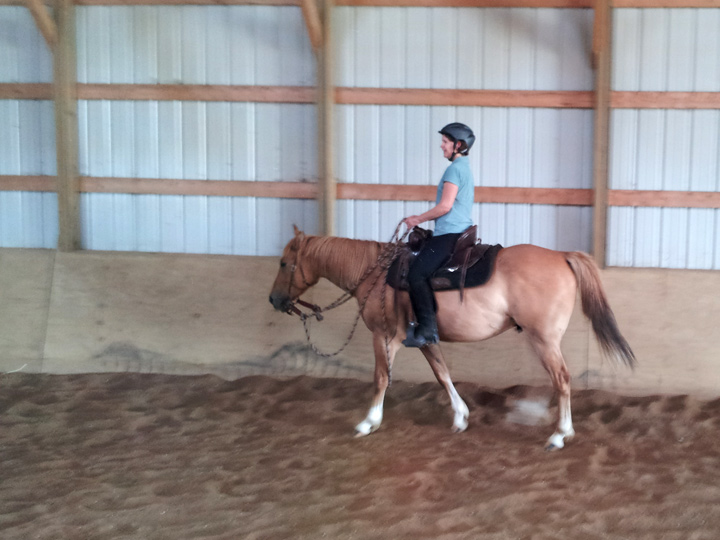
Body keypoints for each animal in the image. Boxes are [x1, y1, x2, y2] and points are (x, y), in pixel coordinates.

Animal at [269, 226, 636, 450]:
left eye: (285, 263)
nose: (274, 300)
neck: (376, 274)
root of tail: (562, 255)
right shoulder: (425, 338)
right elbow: (442, 373)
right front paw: (460, 416)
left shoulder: (384, 337)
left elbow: (381, 378)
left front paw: (368, 422)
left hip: (543, 340)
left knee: (562, 379)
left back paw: (559, 435)